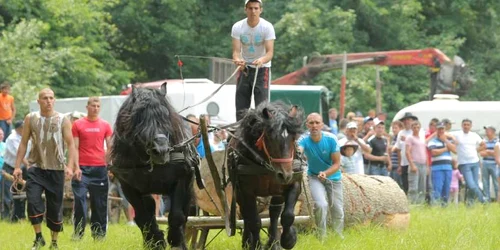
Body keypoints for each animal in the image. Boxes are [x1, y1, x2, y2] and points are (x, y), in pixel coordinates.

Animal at [110, 83, 198, 249]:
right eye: (140, 117)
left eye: (166, 116)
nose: (161, 150)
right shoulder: (128, 186)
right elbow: (143, 217)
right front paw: (156, 241)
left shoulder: (181, 178)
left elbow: (177, 215)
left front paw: (176, 241)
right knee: (148, 209)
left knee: (185, 211)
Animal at [230, 101, 304, 250]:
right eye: (270, 137)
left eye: (293, 137)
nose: (285, 175)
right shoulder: (246, 191)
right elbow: (254, 221)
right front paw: (256, 244)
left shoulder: (294, 182)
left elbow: (288, 215)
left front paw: (289, 239)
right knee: (246, 214)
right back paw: (247, 241)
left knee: (274, 213)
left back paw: (273, 242)